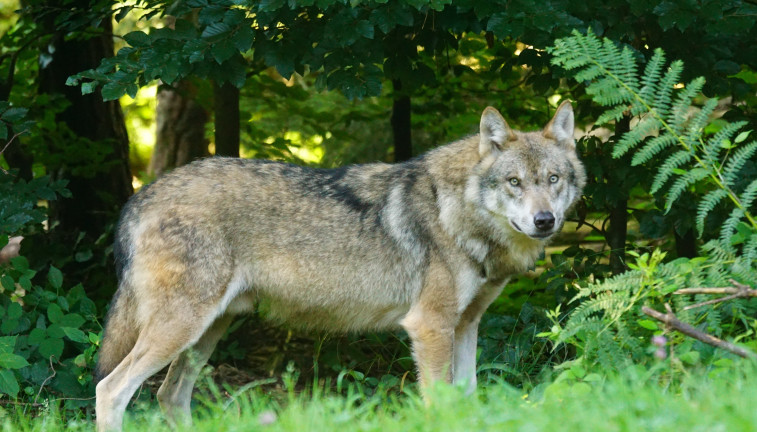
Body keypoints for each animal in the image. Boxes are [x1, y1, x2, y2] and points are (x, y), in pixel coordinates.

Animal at [95, 101, 585, 431]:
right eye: (514, 182)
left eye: (553, 180)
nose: (545, 220)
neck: (457, 211)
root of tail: (140, 196)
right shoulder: (430, 326)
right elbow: (439, 404)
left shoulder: (465, 326)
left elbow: (467, 400)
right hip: (181, 329)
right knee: (110, 390)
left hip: (205, 333)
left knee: (170, 396)